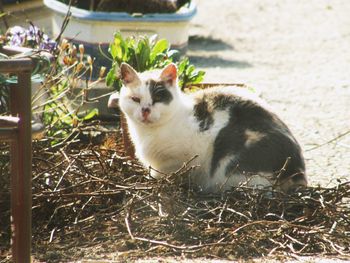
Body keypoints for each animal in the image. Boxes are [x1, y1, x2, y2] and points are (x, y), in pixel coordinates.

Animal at [108, 62, 306, 193]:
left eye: (157, 98)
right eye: (135, 99)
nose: (145, 110)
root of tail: (297, 167)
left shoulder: (178, 161)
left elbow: (171, 175)